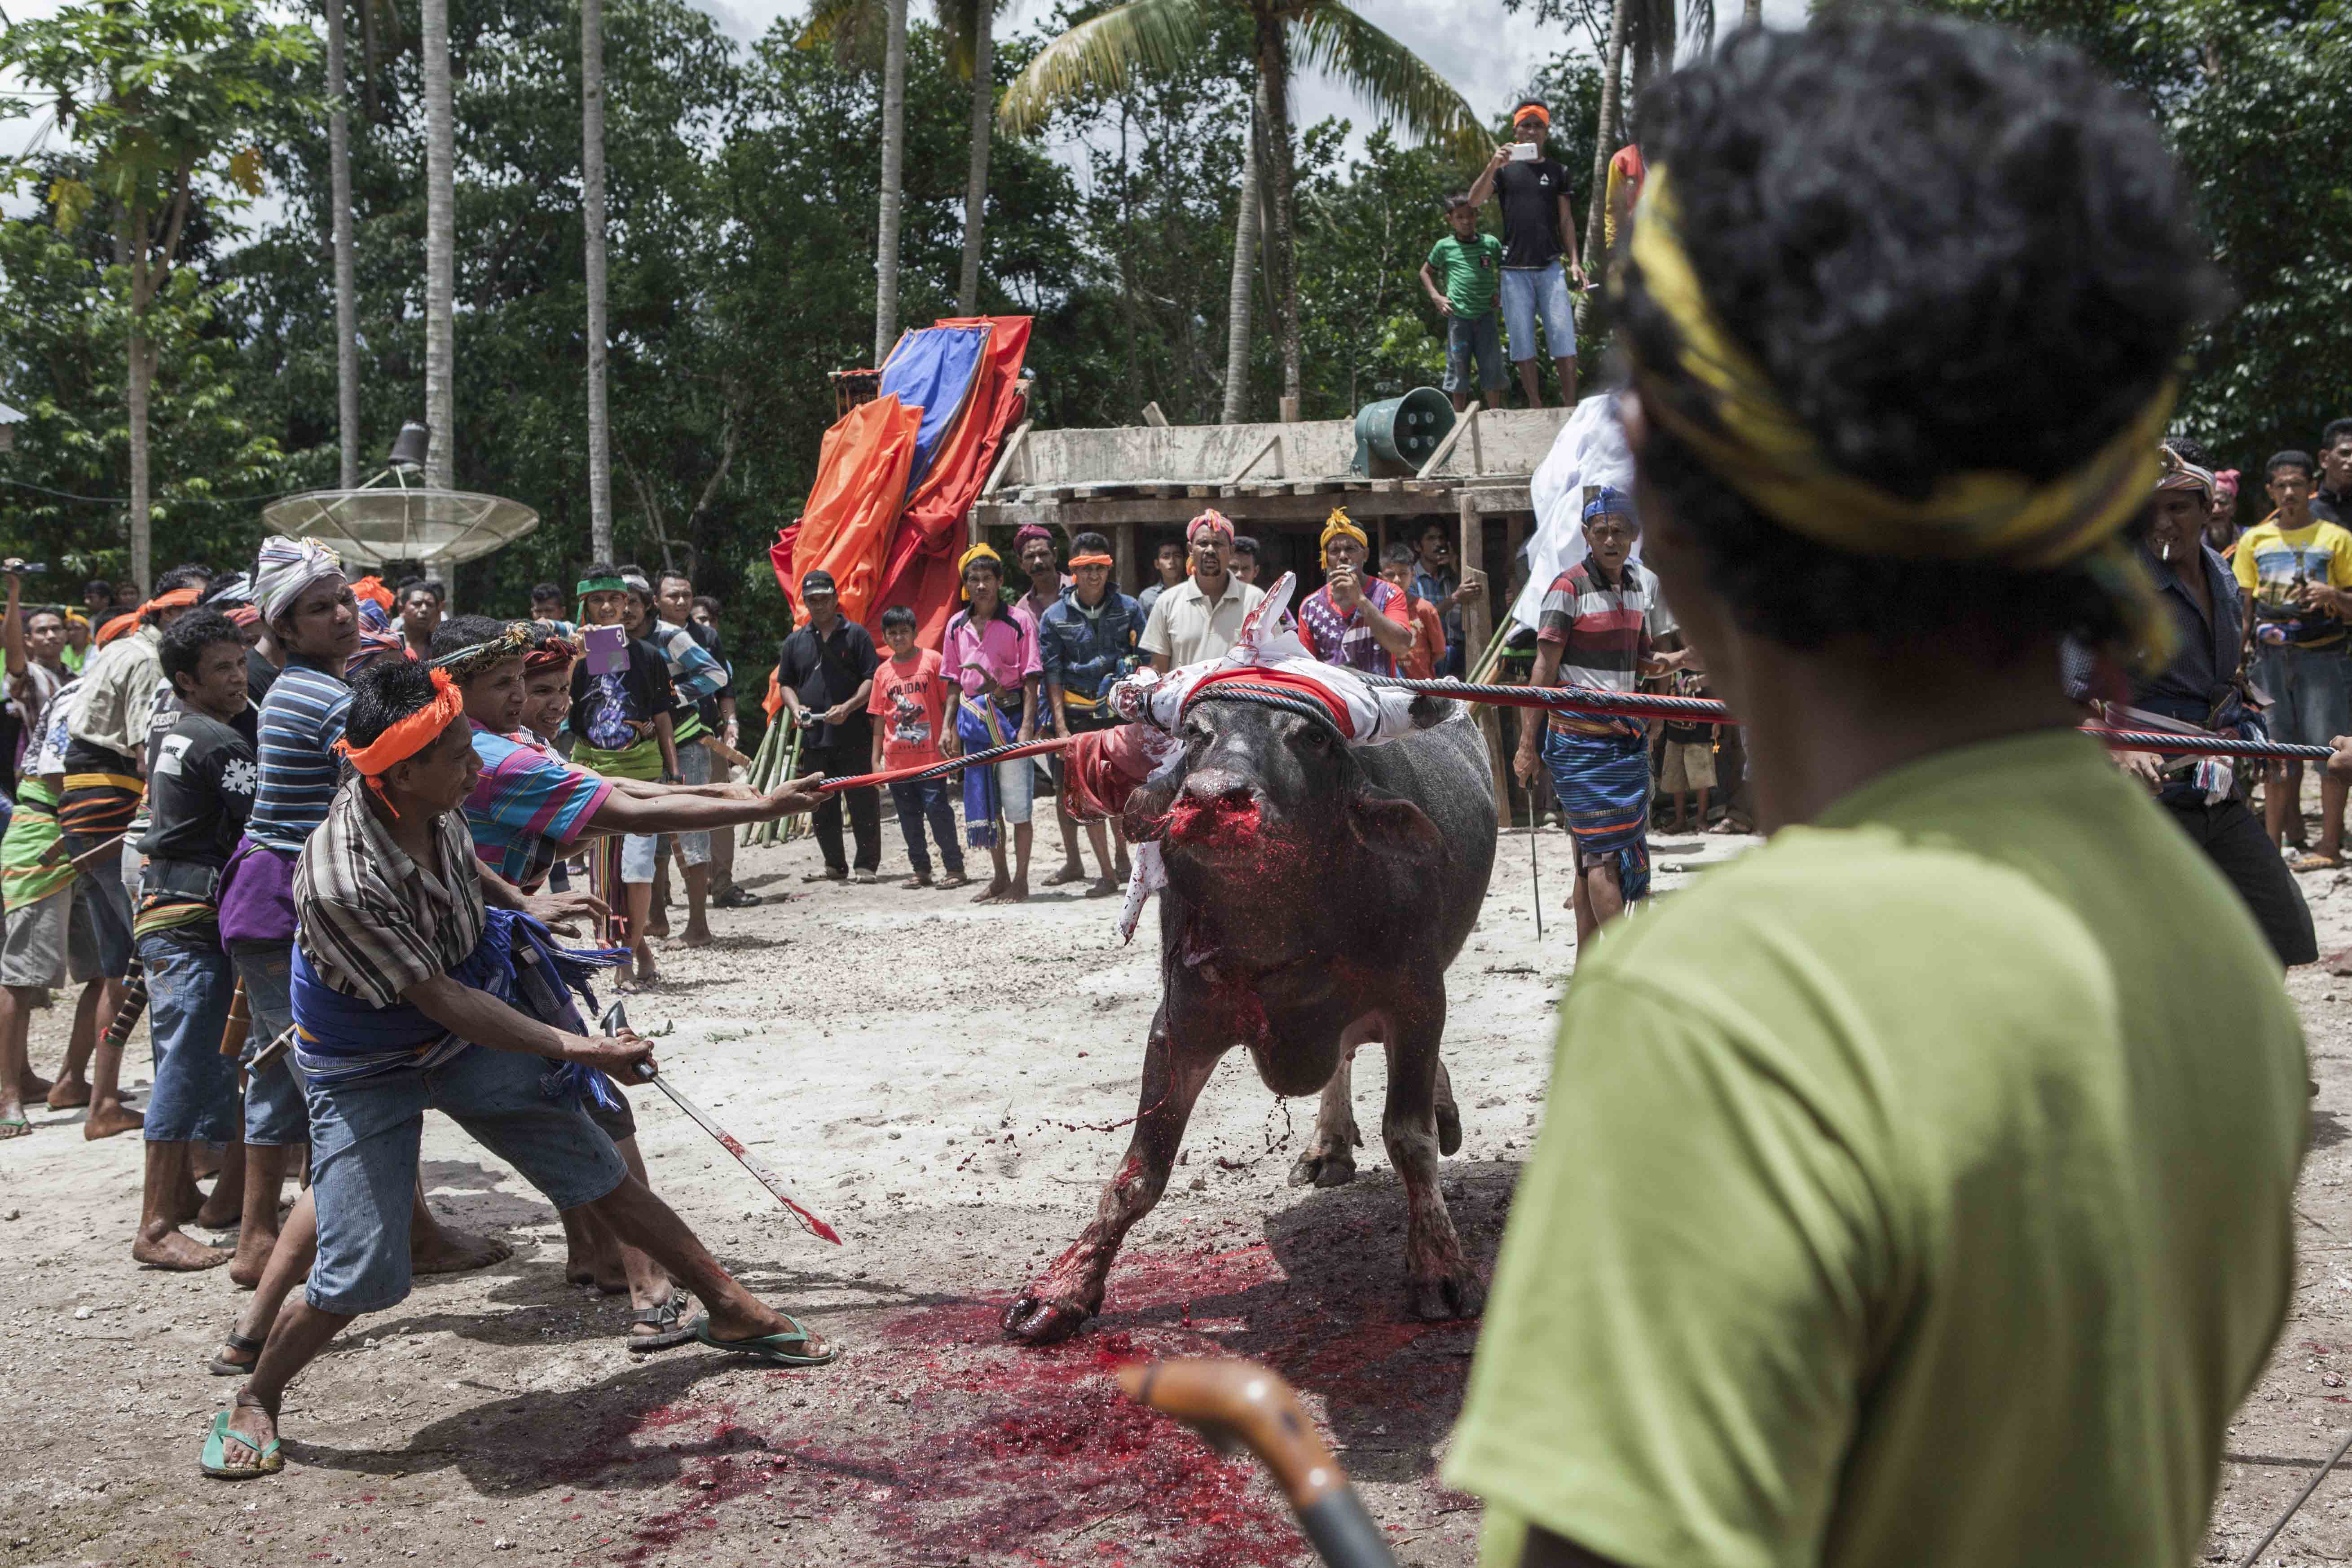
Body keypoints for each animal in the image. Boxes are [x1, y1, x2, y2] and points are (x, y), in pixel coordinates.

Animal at [1002, 691, 1496, 1344]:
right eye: (1194, 732)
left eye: (1311, 737)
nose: (1214, 799)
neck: (1283, 931)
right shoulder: (1180, 1025)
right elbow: (1138, 1173)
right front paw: (1064, 1288)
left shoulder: (1416, 1000)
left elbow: (1410, 1140)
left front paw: (1440, 1267)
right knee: (1343, 1057)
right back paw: (1327, 1147)